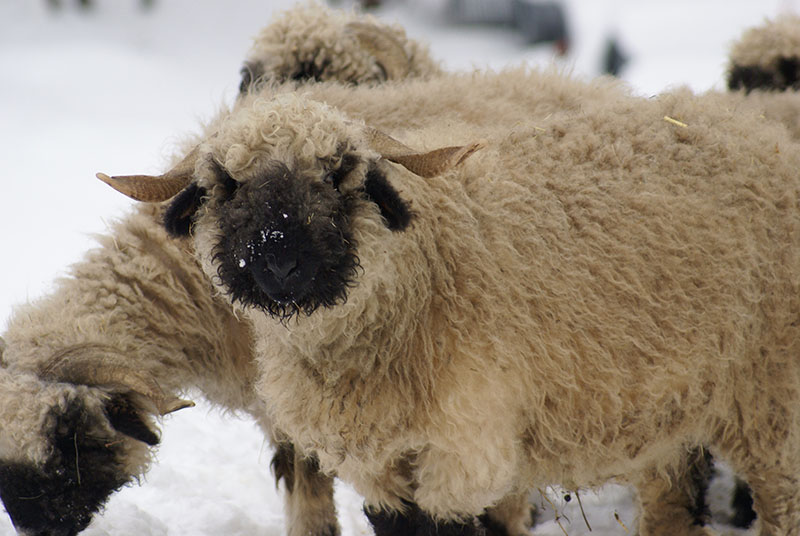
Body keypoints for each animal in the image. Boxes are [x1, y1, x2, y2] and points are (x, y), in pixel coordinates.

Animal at [101, 67, 800, 536]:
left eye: (341, 172)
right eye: (223, 183)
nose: (277, 258)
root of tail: (759, 132)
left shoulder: (466, 453)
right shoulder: (380, 467)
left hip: (772, 405)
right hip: (667, 419)